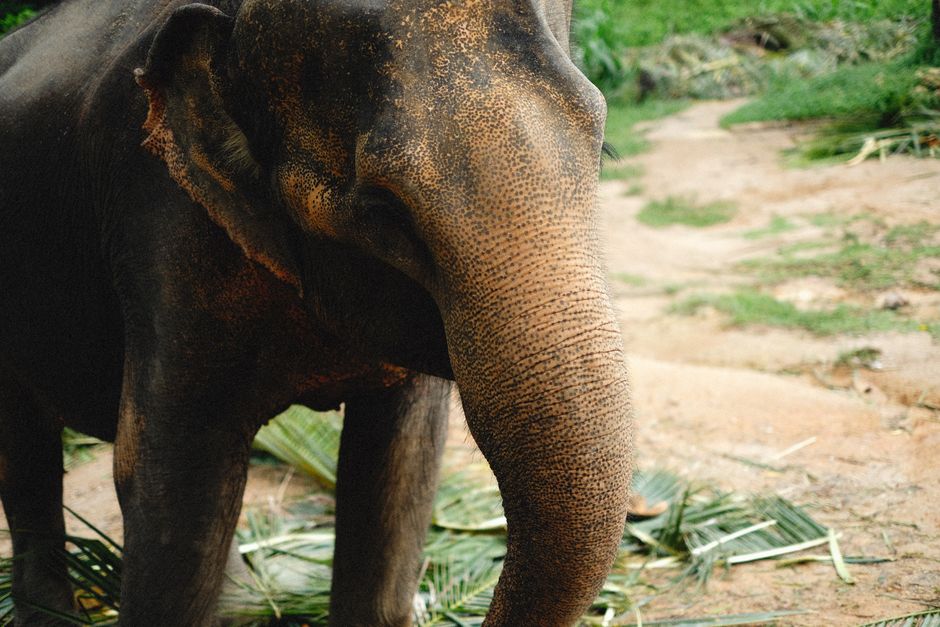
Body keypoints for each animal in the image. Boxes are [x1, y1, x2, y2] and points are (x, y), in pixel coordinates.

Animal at [0, 0, 634, 625]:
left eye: (602, 151)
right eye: (384, 210)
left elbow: (398, 468)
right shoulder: (161, 227)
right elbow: (172, 482)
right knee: (25, 452)